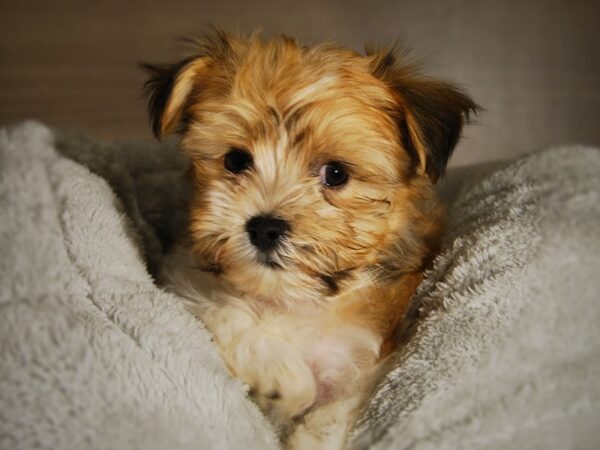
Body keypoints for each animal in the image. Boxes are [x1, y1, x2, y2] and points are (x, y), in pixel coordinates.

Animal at [142, 29, 478, 448]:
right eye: (236, 160)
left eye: (336, 173)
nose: (264, 227)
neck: (296, 301)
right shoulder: (185, 282)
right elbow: (226, 312)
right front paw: (280, 377)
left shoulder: (369, 358)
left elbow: (338, 409)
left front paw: (308, 431)